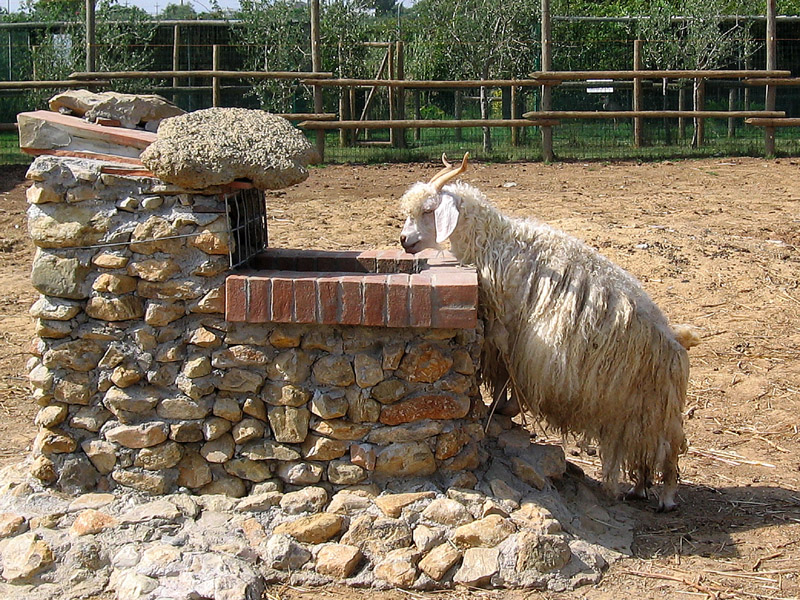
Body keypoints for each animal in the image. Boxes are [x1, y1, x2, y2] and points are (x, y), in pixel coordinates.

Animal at [399, 154, 699, 511]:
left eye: (428, 210)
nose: (404, 241)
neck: (496, 241)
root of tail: (677, 343)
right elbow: (507, 378)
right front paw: (505, 409)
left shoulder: (509, 330)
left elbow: (507, 377)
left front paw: (501, 409)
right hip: (634, 409)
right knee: (639, 446)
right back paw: (638, 488)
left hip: (655, 405)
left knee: (668, 446)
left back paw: (666, 496)